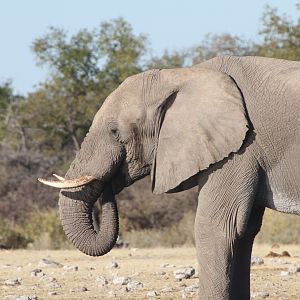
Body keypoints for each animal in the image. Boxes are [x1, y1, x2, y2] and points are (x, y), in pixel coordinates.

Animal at [38, 56, 298, 300]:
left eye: (114, 132)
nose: (109, 185)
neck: (181, 75)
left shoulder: (239, 150)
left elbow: (217, 227)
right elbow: (244, 232)